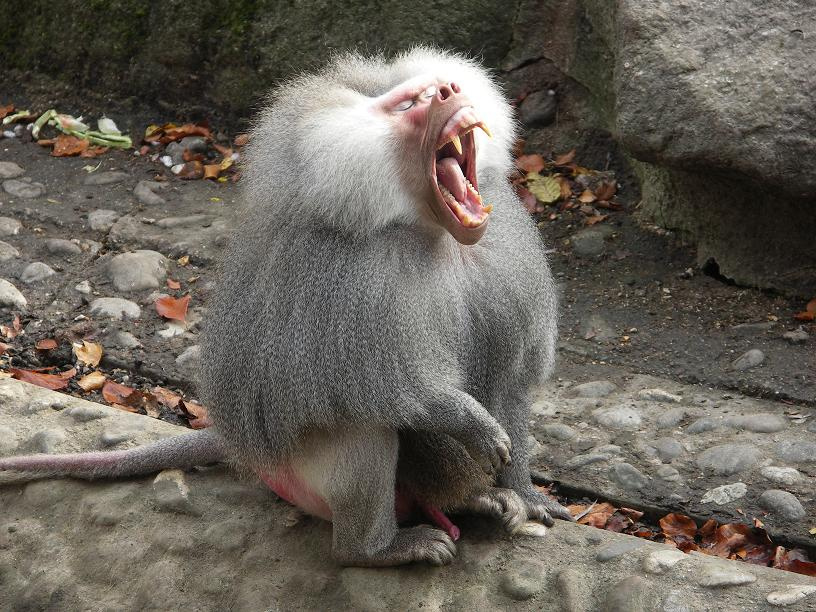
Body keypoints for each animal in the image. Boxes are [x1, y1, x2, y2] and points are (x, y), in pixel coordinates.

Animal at [0, 47, 573, 567]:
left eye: (436, 87)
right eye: (411, 103)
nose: (450, 90)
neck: (426, 229)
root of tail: (249, 455)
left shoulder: (506, 255)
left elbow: (512, 383)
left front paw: (528, 494)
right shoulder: (348, 283)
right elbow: (391, 392)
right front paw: (473, 424)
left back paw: (480, 500)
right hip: (305, 470)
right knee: (363, 425)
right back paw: (378, 550)